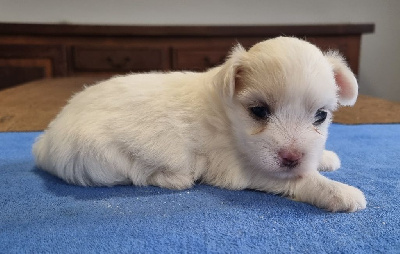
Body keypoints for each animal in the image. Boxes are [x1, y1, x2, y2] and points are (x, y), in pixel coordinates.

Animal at [32, 37, 368, 212]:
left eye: (321, 116)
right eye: (259, 111)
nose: (291, 157)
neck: (227, 117)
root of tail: (44, 140)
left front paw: (326, 158)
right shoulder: (239, 168)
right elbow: (297, 179)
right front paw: (340, 192)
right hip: (102, 158)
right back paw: (176, 179)